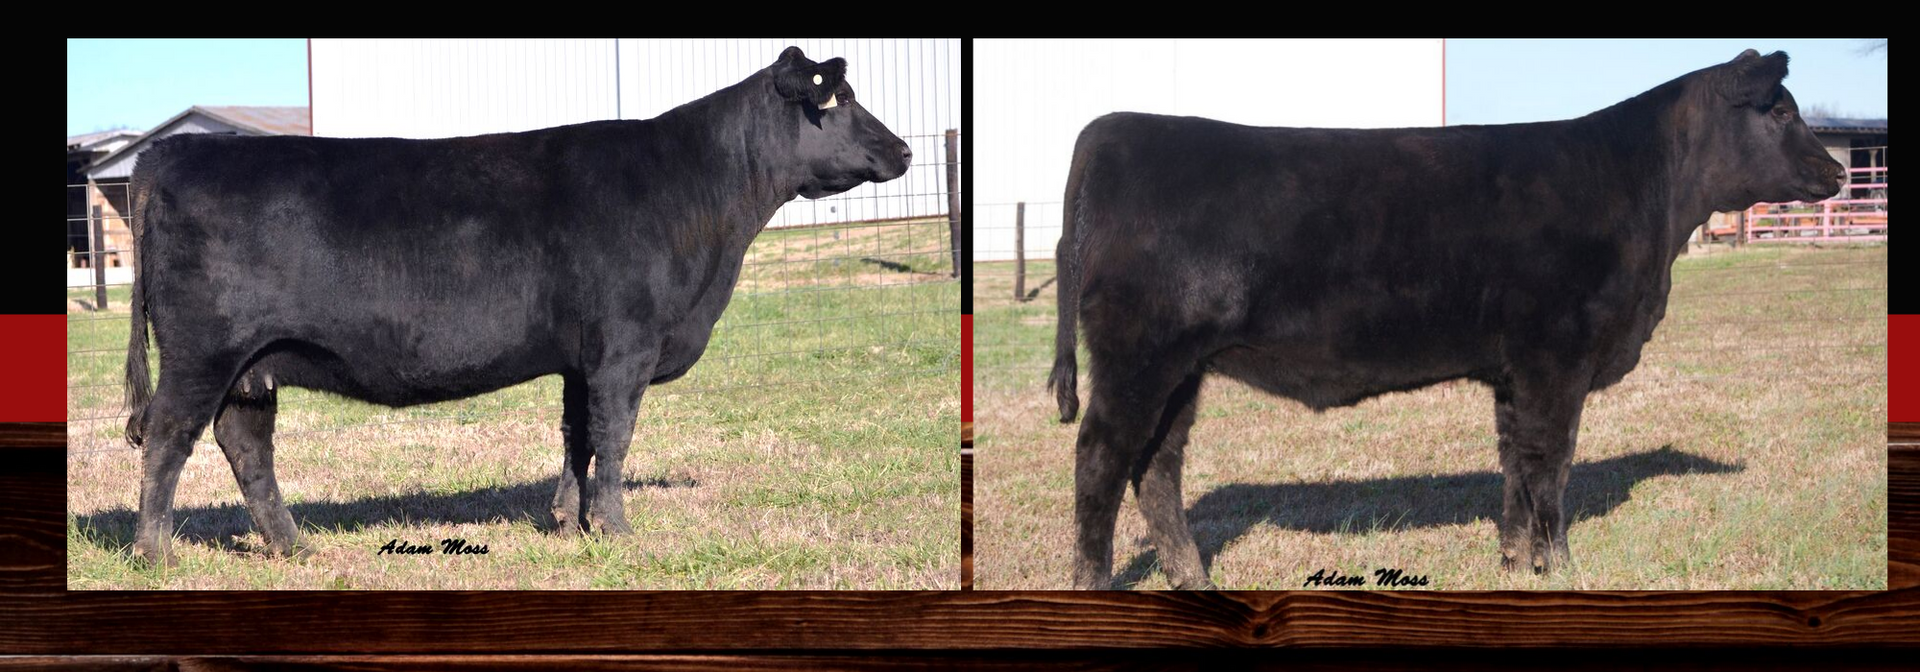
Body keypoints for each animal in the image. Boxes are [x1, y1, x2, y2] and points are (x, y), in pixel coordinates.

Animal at [123, 47, 914, 566]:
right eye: (841, 101)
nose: (905, 149)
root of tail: (171, 154)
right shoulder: (625, 346)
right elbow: (615, 436)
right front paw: (617, 531)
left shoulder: (581, 358)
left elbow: (578, 437)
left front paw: (568, 521)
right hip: (203, 352)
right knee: (168, 435)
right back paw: (156, 555)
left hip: (253, 364)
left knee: (244, 444)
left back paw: (293, 548)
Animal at [1049, 50, 1845, 589]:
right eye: (1779, 110)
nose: (1838, 172)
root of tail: (1113, 128)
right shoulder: (1556, 357)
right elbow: (1552, 465)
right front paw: (1561, 569)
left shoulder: (1513, 370)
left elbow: (1515, 466)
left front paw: (1515, 563)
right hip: (1139, 356)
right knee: (1101, 458)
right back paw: (1095, 589)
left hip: (1182, 369)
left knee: (1157, 467)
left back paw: (1196, 583)